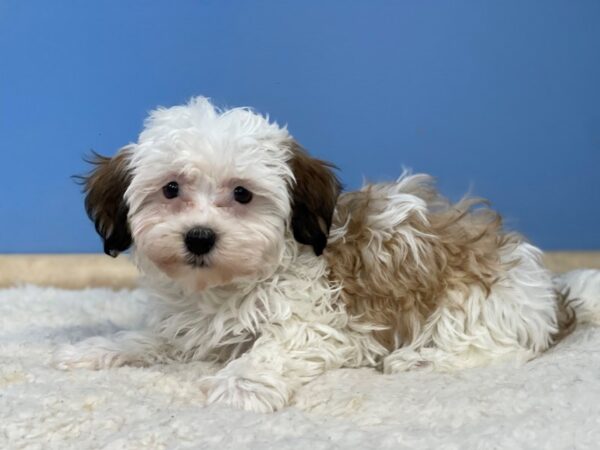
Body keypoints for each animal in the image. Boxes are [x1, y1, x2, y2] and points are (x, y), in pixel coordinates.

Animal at [54, 96, 596, 414]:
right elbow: (156, 338)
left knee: (501, 349)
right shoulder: (193, 327)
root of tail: (550, 293)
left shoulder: (313, 321)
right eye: (170, 189)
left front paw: (243, 384)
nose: (199, 237)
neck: (225, 287)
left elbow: (276, 346)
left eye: (243, 194)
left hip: (473, 303)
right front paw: (99, 349)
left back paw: (416, 360)